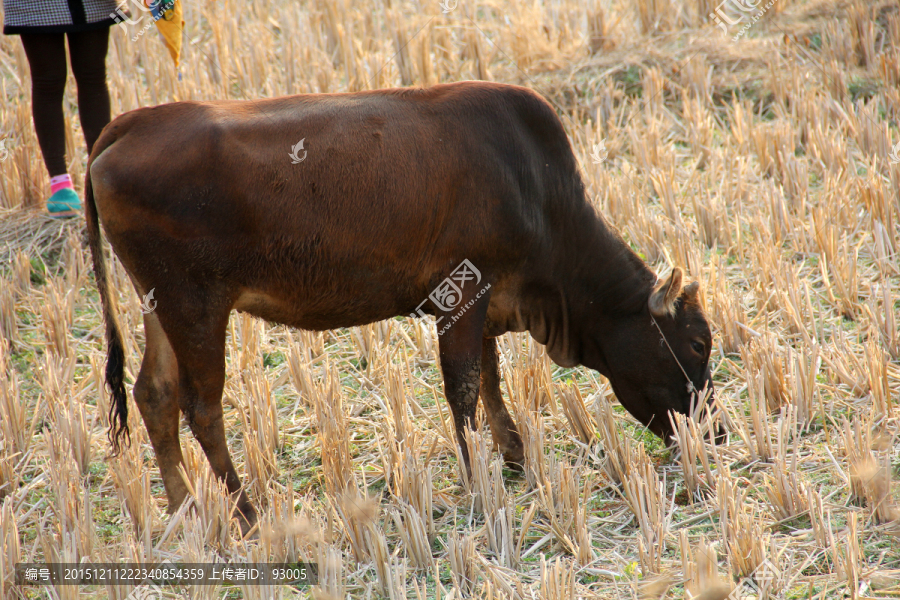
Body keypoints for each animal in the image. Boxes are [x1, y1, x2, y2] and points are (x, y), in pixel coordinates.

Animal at [86, 81, 716, 536]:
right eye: (698, 343)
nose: (716, 430)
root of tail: (129, 124)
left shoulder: (484, 304)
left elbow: (489, 378)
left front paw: (514, 458)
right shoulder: (463, 292)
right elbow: (464, 386)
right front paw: (478, 480)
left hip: (159, 304)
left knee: (154, 395)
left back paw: (185, 509)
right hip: (194, 303)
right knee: (202, 406)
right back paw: (243, 513)